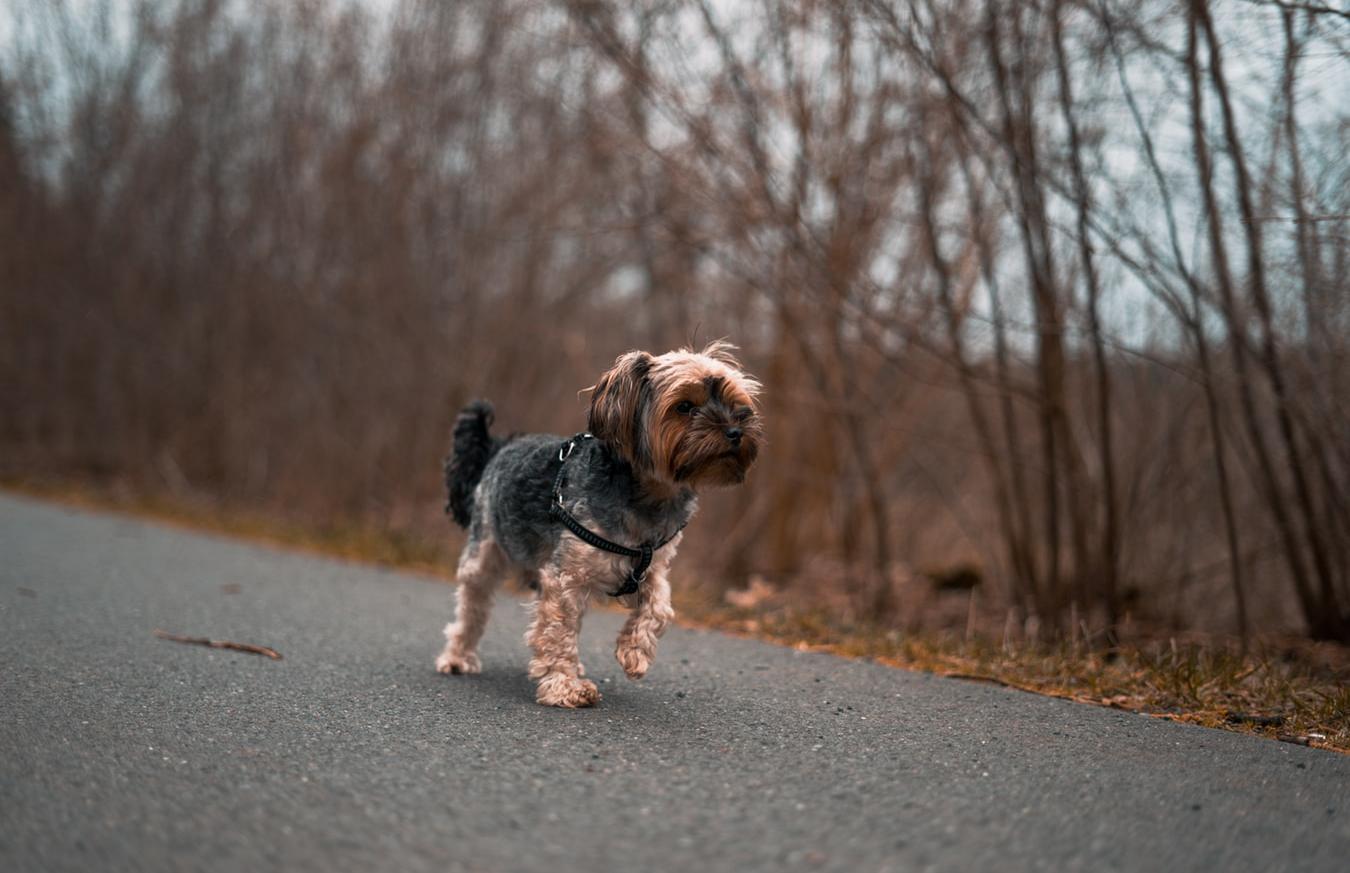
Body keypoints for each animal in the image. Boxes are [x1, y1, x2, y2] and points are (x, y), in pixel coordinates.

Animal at [440, 345, 766, 707]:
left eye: (735, 403)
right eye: (684, 406)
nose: (735, 431)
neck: (648, 495)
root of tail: (500, 447)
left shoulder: (652, 568)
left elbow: (659, 607)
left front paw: (634, 652)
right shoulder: (566, 576)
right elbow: (557, 629)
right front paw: (564, 685)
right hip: (484, 549)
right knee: (472, 605)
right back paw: (457, 658)